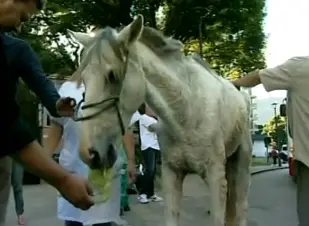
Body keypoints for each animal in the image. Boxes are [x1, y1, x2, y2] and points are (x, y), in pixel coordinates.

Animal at [70, 14, 253, 226]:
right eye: (84, 79)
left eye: (113, 75)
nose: (88, 153)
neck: (185, 115)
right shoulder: (171, 174)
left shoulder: (215, 177)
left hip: (241, 164)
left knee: (241, 208)